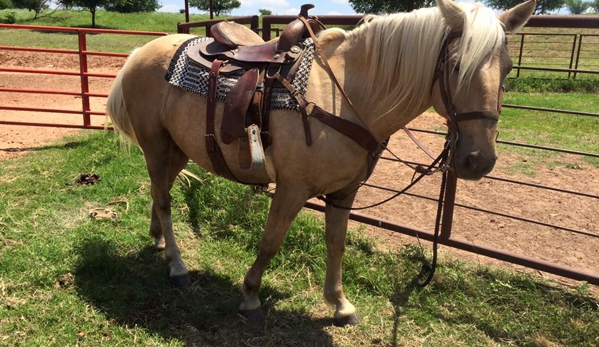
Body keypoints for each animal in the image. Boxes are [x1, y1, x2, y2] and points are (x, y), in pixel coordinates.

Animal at [106, 0, 536, 328]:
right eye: (456, 66)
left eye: (508, 68)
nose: (479, 160)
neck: (346, 97)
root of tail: (141, 53)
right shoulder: (293, 188)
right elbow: (271, 240)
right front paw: (250, 295)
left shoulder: (345, 192)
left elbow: (336, 243)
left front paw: (340, 305)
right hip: (155, 145)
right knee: (164, 200)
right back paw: (177, 265)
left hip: (177, 148)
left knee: (159, 193)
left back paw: (159, 240)